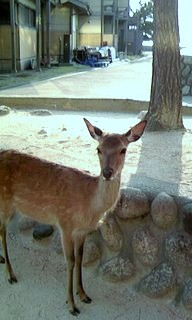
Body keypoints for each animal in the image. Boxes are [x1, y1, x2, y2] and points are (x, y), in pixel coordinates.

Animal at [0, 117, 146, 316]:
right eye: (98, 149)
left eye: (123, 149)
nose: (107, 173)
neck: (90, 208)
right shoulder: (65, 224)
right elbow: (69, 261)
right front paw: (72, 305)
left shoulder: (82, 231)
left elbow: (80, 259)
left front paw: (83, 294)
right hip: (5, 202)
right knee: (3, 232)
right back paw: (11, 274)